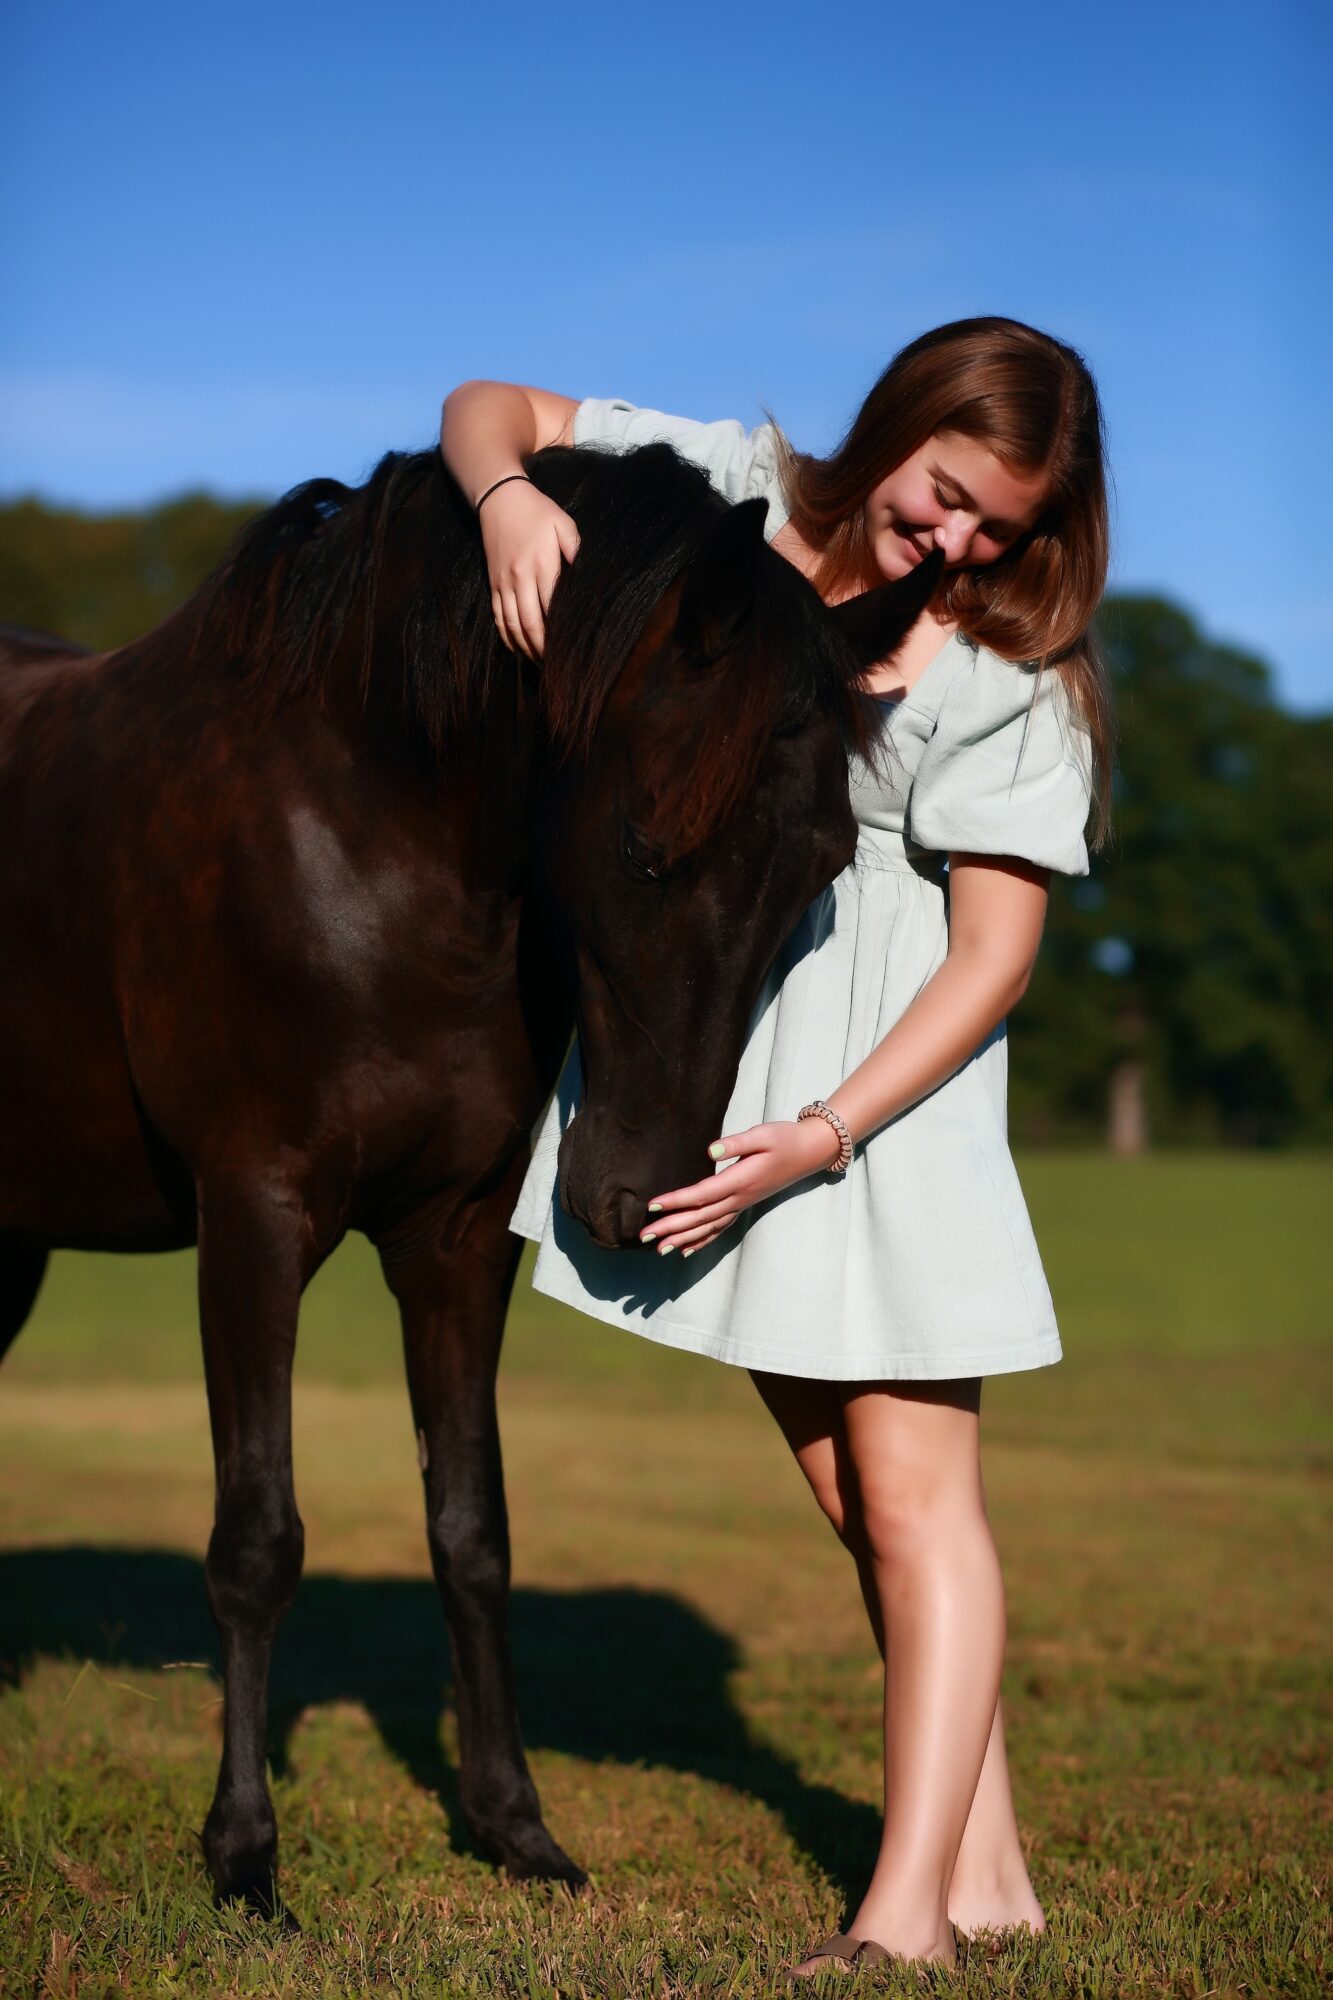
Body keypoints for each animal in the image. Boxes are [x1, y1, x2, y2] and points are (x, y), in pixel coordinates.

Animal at [0, 437, 940, 1912]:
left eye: (822, 872)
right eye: (647, 847)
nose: (635, 1201)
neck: (364, 838)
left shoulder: (452, 1240)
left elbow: (472, 1529)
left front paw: (513, 1824)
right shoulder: (253, 1216)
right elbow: (257, 1540)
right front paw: (244, 1853)